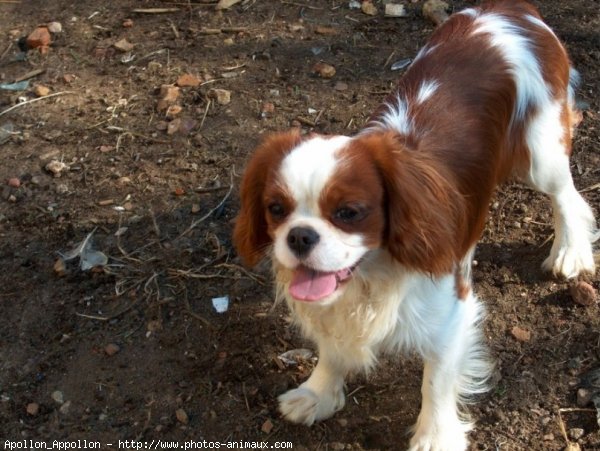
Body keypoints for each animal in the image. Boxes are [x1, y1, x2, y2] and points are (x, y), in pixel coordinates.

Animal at [231, 1, 596, 450]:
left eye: (349, 212)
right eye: (276, 209)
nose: (300, 236)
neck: (371, 275)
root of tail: (508, 9)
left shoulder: (452, 312)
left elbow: (435, 381)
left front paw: (435, 436)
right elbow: (333, 347)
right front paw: (318, 393)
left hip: (541, 153)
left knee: (567, 197)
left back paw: (570, 251)